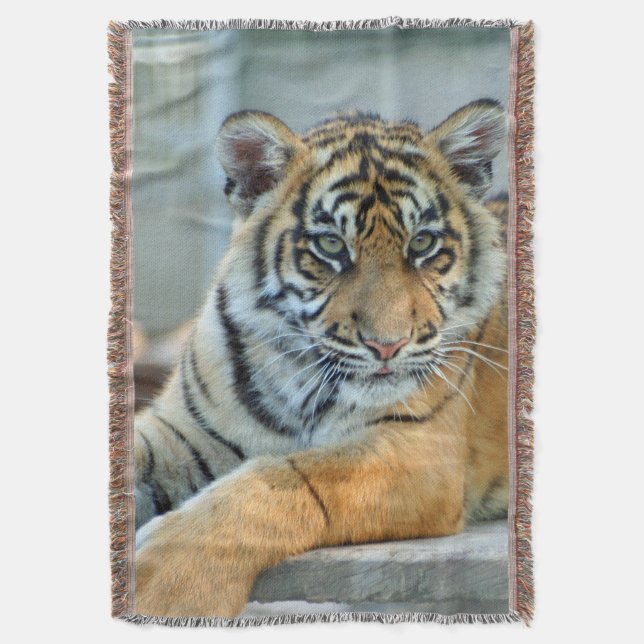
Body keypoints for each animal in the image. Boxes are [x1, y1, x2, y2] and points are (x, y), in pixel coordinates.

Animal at [134, 99, 509, 617]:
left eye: (422, 243)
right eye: (330, 245)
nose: (387, 345)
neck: (296, 374)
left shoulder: (420, 451)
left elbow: (285, 477)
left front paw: (163, 582)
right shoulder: (182, 432)